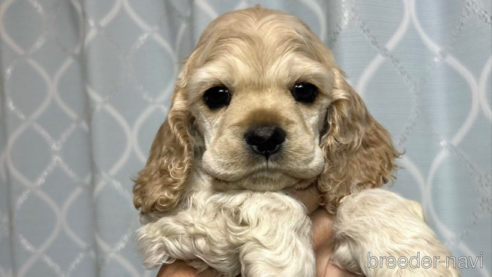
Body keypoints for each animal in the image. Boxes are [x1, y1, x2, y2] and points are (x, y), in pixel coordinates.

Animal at [134, 6, 400, 276]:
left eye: (305, 90)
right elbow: (265, 201)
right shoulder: (169, 224)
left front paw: (400, 253)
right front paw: (285, 262)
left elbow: (363, 196)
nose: (265, 137)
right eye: (216, 95)